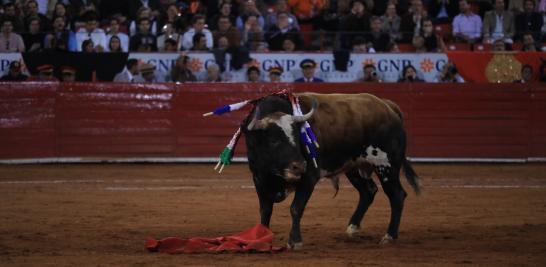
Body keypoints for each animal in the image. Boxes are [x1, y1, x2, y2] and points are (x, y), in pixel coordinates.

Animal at [240, 93, 418, 250]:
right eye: (273, 140)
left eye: (298, 137)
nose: (300, 166)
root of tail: (388, 107)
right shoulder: (259, 179)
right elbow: (265, 211)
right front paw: (261, 238)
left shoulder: (309, 177)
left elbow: (296, 208)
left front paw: (295, 241)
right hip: (353, 168)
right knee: (368, 191)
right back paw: (353, 227)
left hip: (387, 166)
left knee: (397, 195)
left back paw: (389, 236)